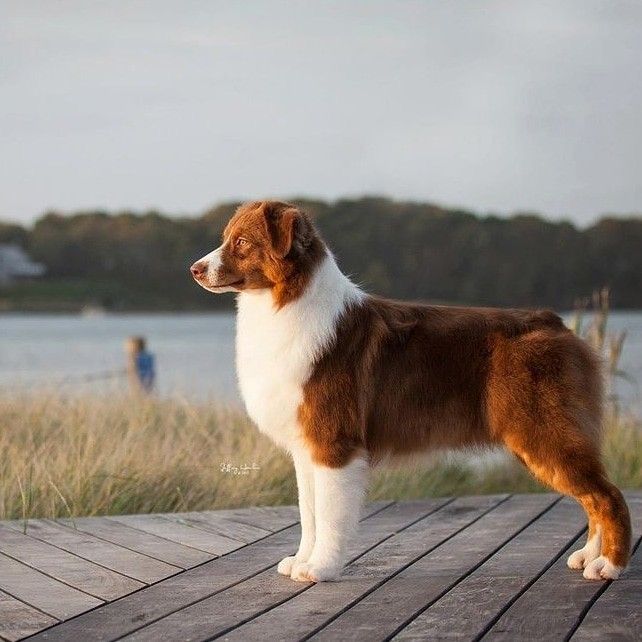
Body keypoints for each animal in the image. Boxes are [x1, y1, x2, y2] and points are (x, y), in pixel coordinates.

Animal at [190, 199, 632, 580]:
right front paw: (301, 560)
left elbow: (330, 514)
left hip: (542, 432)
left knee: (608, 496)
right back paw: (588, 556)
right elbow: (309, 513)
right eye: (227, 237)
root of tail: (557, 324)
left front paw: (321, 569)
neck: (284, 303)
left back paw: (609, 567)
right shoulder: (307, 448)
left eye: (242, 242)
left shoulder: (334, 443)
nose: (194, 269)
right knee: (594, 498)